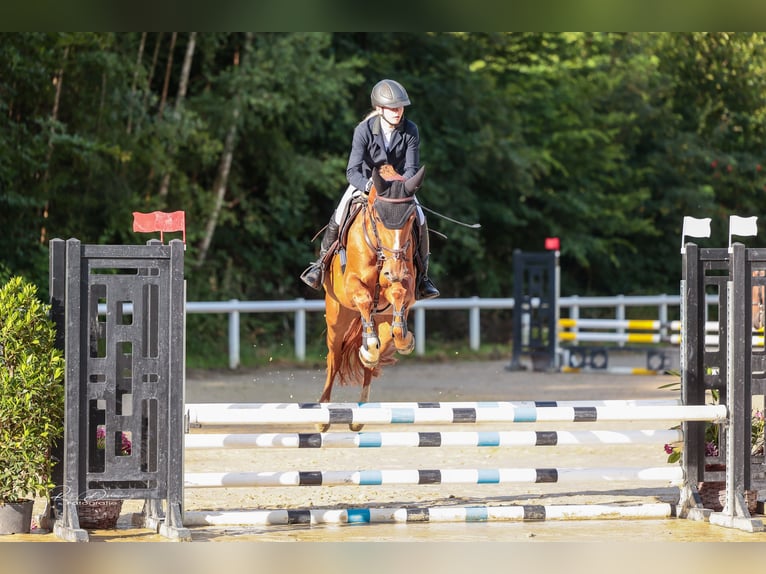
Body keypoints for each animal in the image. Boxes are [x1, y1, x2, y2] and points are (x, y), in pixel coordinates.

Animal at [318, 164, 426, 430]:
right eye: (378, 218)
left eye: (411, 219)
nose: (393, 271)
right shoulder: (352, 285)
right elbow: (365, 298)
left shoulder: (407, 283)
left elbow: (399, 292)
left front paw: (405, 339)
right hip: (337, 320)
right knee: (334, 359)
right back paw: (321, 418)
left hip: (382, 326)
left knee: (376, 351)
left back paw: (361, 411)